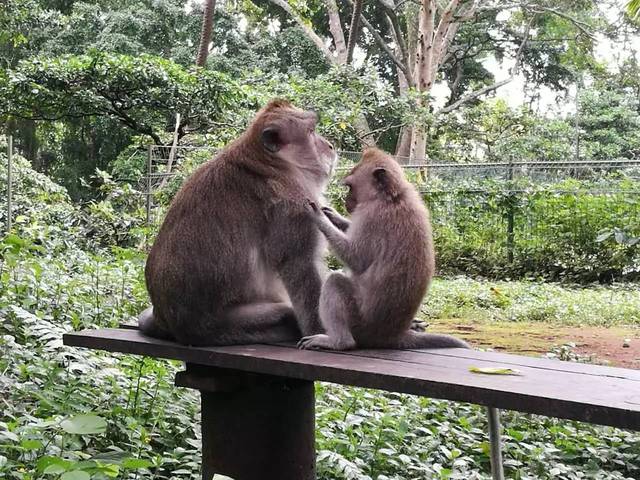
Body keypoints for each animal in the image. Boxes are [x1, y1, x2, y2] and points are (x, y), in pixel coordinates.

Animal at [140, 99, 338, 344]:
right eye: (310, 132)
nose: (330, 146)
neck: (272, 163)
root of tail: (165, 320)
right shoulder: (294, 203)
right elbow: (300, 263)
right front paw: (321, 332)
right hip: (223, 325)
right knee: (282, 313)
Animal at [298, 148, 468, 350]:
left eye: (350, 186)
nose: (347, 201)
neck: (393, 197)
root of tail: (393, 335)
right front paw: (334, 216)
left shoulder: (371, 215)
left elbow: (357, 259)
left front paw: (319, 217)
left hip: (359, 322)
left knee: (335, 282)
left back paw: (338, 341)